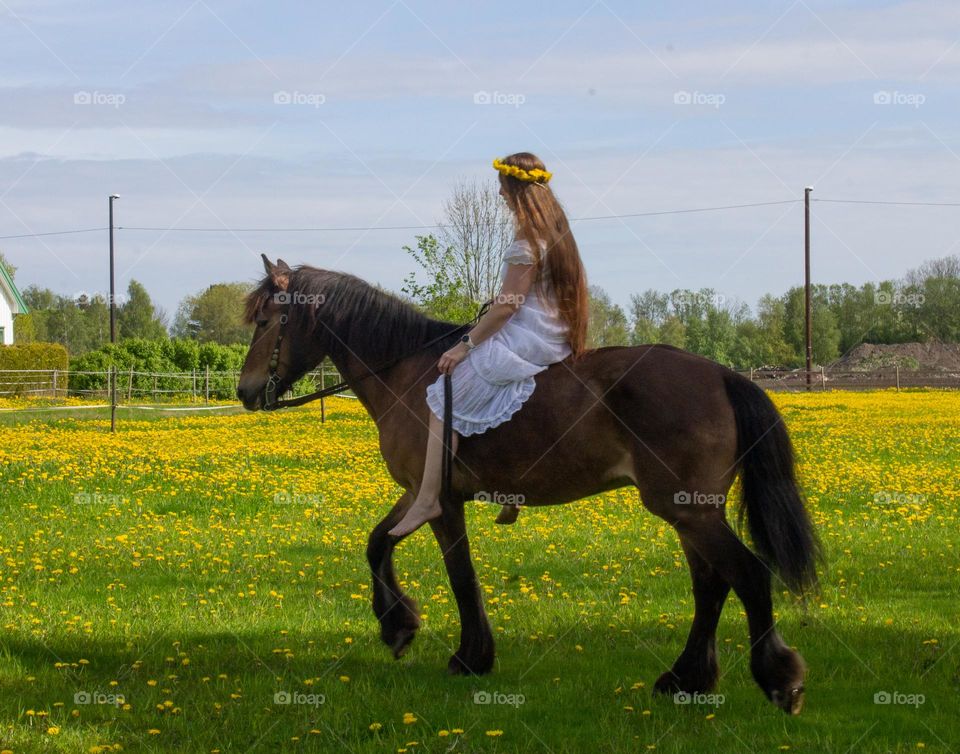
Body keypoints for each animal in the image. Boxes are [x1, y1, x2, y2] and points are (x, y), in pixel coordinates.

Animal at [238, 258, 816, 712]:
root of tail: (721, 374)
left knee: (748, 575)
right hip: (690, 513)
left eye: (266, 320)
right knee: (711, 584)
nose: (245, 392)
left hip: (689, 511)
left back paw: (777, 678)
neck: (409, 372)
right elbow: (377, 543)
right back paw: (686, 680)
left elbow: (460, 575)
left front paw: (469, 657)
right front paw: (398, 626)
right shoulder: (418, 494)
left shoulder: (440, 501)